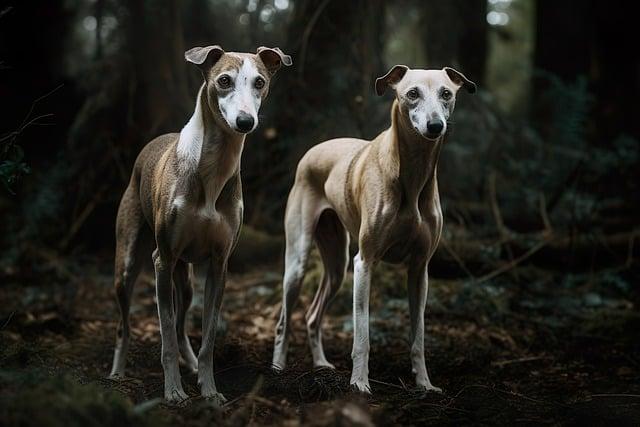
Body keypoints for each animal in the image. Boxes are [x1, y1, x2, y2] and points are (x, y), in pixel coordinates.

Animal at [108, 45, 292, 402]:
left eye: (260, 82)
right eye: (224, 80)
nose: (245, 122)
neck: (213, 168)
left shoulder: (220, 265)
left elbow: (207, 338)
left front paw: (208, 389)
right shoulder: (162, 260)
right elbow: (165, 337)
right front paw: (173, 391)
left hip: (187, 279)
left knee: (182, 326)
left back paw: (191, 366)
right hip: (129, 265)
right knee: (125, 326)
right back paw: (117, 374)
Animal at [270, 64, 476, 394]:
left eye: (446, 93)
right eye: (412, 93)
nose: (435, 126)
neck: (412, 176)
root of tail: (312, 150)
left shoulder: (420, 269)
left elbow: (418, 336)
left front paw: (425, 384)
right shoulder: (364, 263)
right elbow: (362, 337)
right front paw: (359, 383)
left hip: (337, 265)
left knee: (313, 315)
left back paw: (321, 364)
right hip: (299, 261)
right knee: (283, 321)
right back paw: (277, 368)